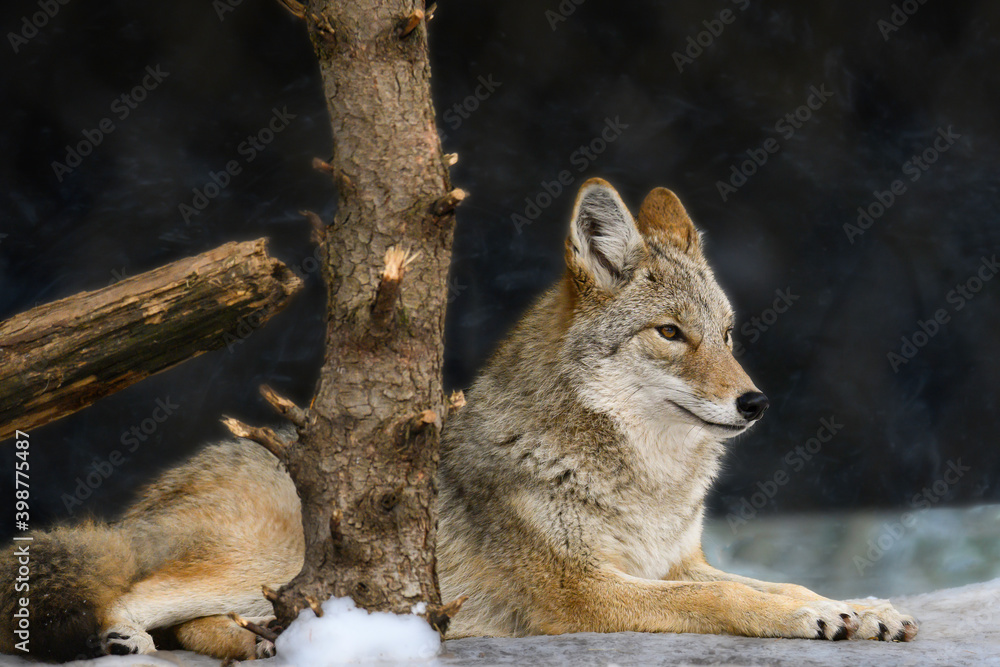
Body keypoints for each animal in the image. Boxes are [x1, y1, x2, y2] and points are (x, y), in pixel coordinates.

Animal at [0, 180, 916, 660]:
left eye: (725, 335)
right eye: (671, 334)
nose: (754, 401)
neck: (649, 484)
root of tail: (163, 487)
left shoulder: (674, 564)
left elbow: (772, 579)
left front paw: (858, 606)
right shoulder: (579, 591)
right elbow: (735, 599)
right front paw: (813, 618)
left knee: (203, 615)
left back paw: (251, 638)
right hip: (270, 552)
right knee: (133, 589)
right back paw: (127, 638)